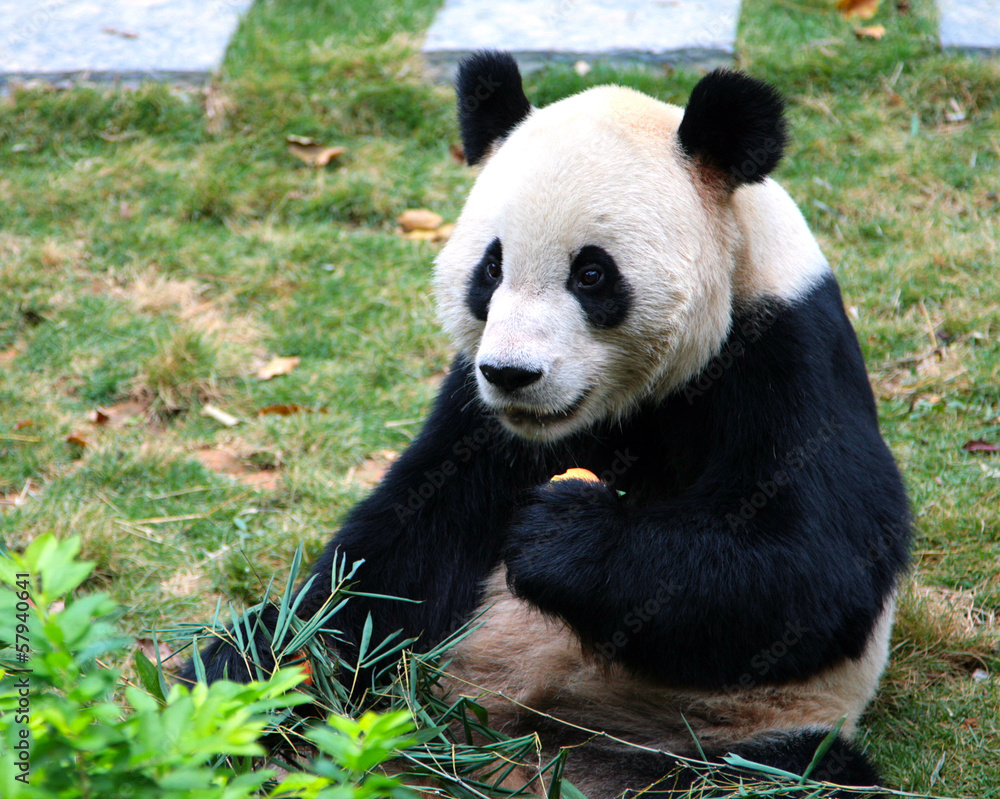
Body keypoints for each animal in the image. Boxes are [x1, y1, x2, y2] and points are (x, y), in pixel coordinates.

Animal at [184, 51, 911, 796]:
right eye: (491, 267)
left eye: (591, 273)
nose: (512, 374)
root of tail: (516, 755)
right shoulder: (475, 414)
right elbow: (397, 556)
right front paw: (256, 676)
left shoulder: (786, 350)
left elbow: (816, 563)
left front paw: (563, 537)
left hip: (728, 729)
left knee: (782, 773)